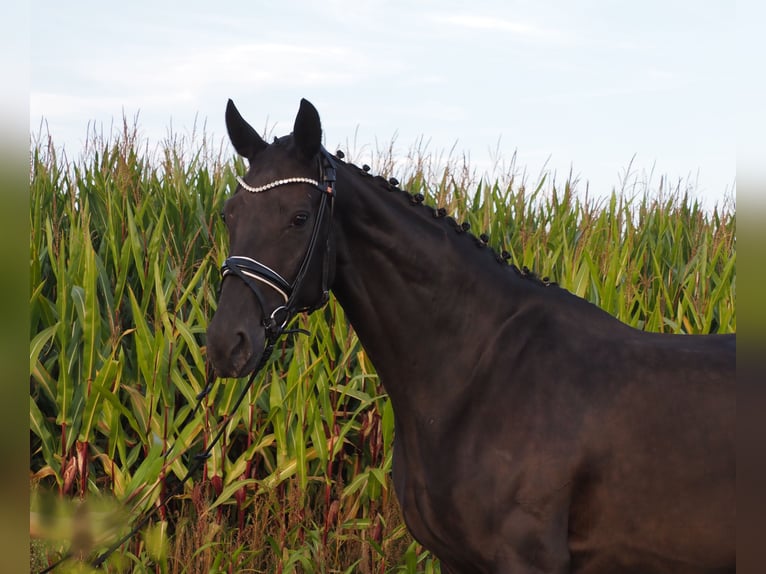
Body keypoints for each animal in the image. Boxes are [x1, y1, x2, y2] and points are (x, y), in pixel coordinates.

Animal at [206, 100, 736, 574]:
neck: (476, 372)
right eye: (229, 214)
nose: (225, 344)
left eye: (299, 217)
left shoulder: (527, 560)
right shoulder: (455, 560)